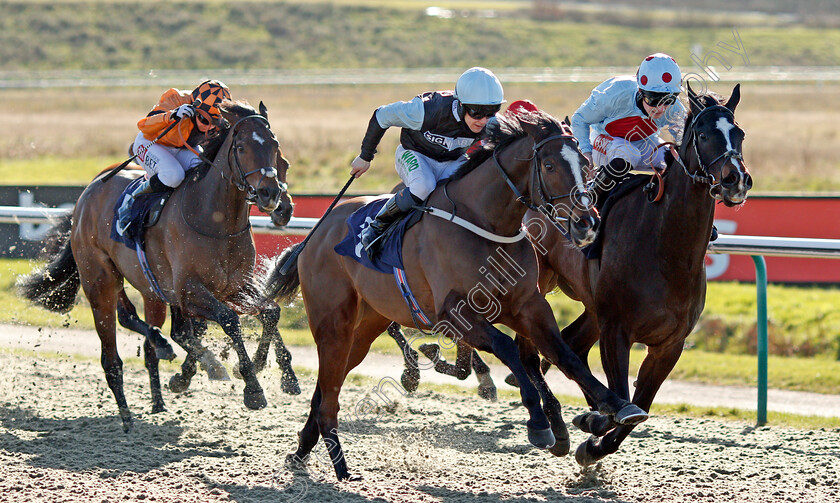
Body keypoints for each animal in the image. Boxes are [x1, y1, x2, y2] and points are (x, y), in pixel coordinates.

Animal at [18, 99, 286, 434]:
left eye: (275, 145)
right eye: (241, 147)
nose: (270, 193)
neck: (214, 221)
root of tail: (86, 194)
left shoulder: (236, 287)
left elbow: (270, 312)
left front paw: (258, 366)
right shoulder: (190, 292)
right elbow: (229, 320)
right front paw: (252, 389)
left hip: (145, 286)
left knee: (144, 327)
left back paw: (161, 378)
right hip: (99, 282)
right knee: (112, 357)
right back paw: (127, 418)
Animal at [266, 110, 648, 480]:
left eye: (584, 162)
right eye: (551, 166)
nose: (587, 223)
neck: (487, 223)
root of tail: (315, 234)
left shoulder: (529, 306)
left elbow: (564, 355)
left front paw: (616, 405)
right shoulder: (456, 315)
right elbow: (508, 348)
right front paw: (539, 425)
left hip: (365, 327)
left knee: (327, 386)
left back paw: (302, 450)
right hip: (333, 324)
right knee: (329, 391)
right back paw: (340, 466)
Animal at [524, 82, 756, 464]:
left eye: (739, 133)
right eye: (704, 134)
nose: (735, 179)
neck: (668, 253)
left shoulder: (669, 345)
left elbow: (638, 408)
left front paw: (593, 443)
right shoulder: (616, 329)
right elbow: (624, 399)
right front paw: (594, 420)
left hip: (592, 307)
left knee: (570, 344)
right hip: (536, 287)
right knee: (532, 349)